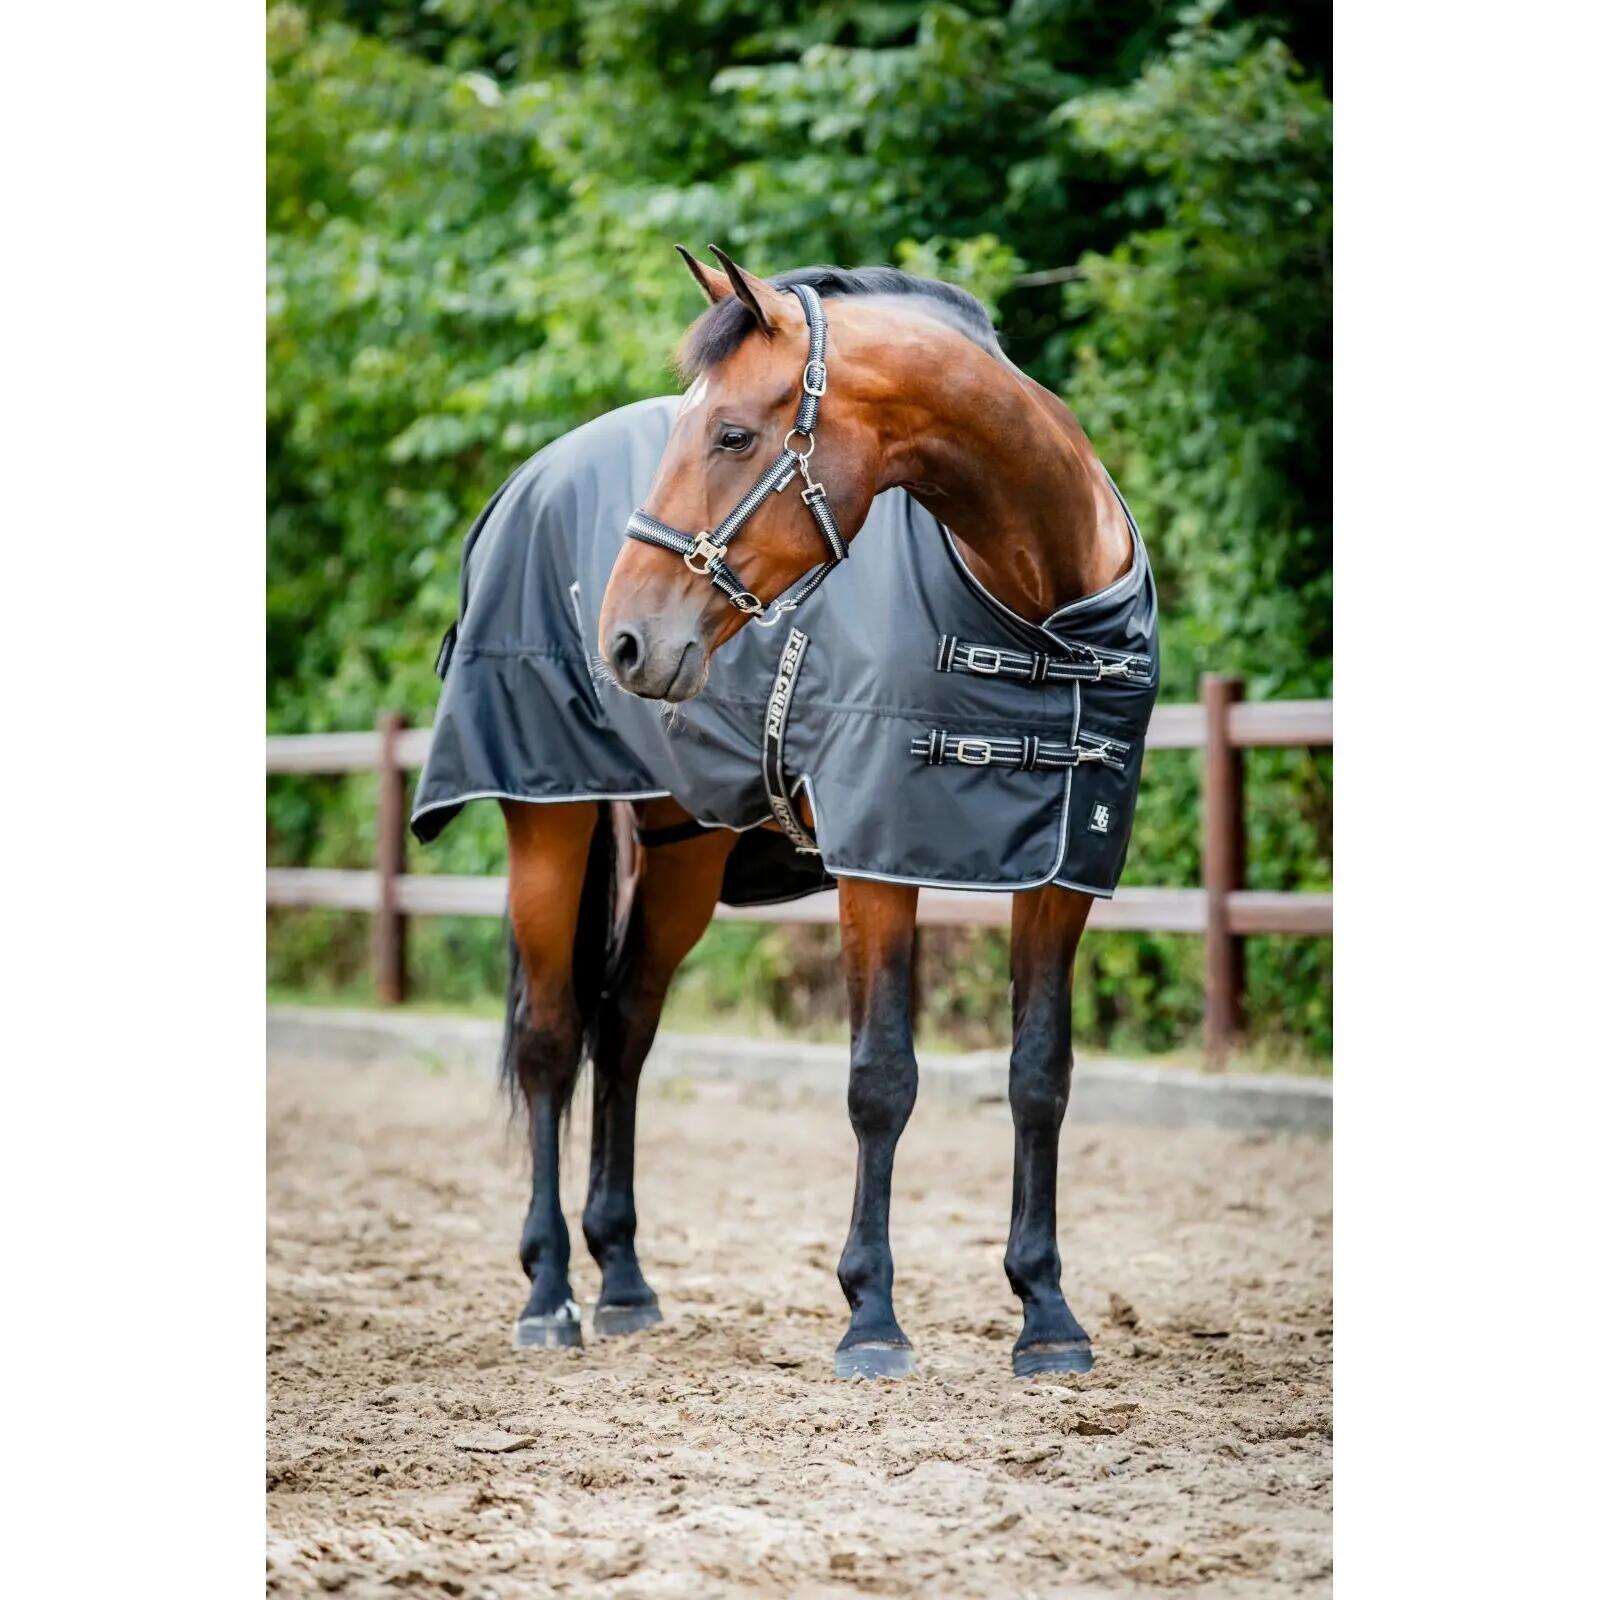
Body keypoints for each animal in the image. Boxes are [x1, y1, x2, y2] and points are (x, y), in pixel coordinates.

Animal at [414, 246, 1158, 1379]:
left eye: (731, 434)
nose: (624, 639)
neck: (1038, 604)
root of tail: (524, 484)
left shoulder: (1060, 871)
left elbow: (1040, 1076)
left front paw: (1047, 1315)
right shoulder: (877, 862)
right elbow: (880, 1078)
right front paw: (872, 1317)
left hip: (681, 854)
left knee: (622, 1032)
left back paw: (624, 1281)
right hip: (551, 822)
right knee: (548, 1039)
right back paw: (549, 1294)